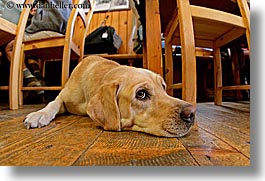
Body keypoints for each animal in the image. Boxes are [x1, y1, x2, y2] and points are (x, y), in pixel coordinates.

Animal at [23, 55, 195, 137]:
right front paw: (39, 114)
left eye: (163, 87)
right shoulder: (63, 97)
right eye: (141, 94)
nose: (191, 113)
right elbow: (53, 103)